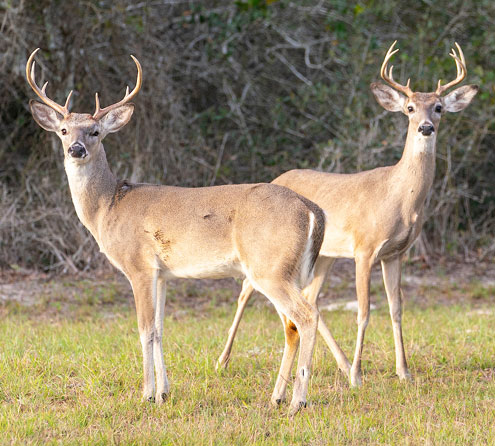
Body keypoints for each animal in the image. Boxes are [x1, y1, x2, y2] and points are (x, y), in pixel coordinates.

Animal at [28, 48, 330, 414]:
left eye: (95, 132)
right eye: (63, 130)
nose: (76, 149)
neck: (107, 207)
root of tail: (311, 209)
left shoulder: (139, 266)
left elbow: (144, 329)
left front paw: (145, 394)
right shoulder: (162, 274)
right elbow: (159, 330)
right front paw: (164, 393)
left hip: (269, 267)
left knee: (308, 316)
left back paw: (297, 401)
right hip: (289, 270)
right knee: (292, 325)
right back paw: (277, 397)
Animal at [218, 41, 480, 386]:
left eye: (439, 107)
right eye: (410, 108)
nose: (426, 127)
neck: (400, 197)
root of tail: (274, 180)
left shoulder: (395, 253)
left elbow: (396, 309)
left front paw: (404, 372)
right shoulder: (364, 249)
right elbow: (364, 311)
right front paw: (357, 375)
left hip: (323, 256)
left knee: (310, 299)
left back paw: (339, 362)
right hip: (272, 248)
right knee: (246, 291)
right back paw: (222, 361)